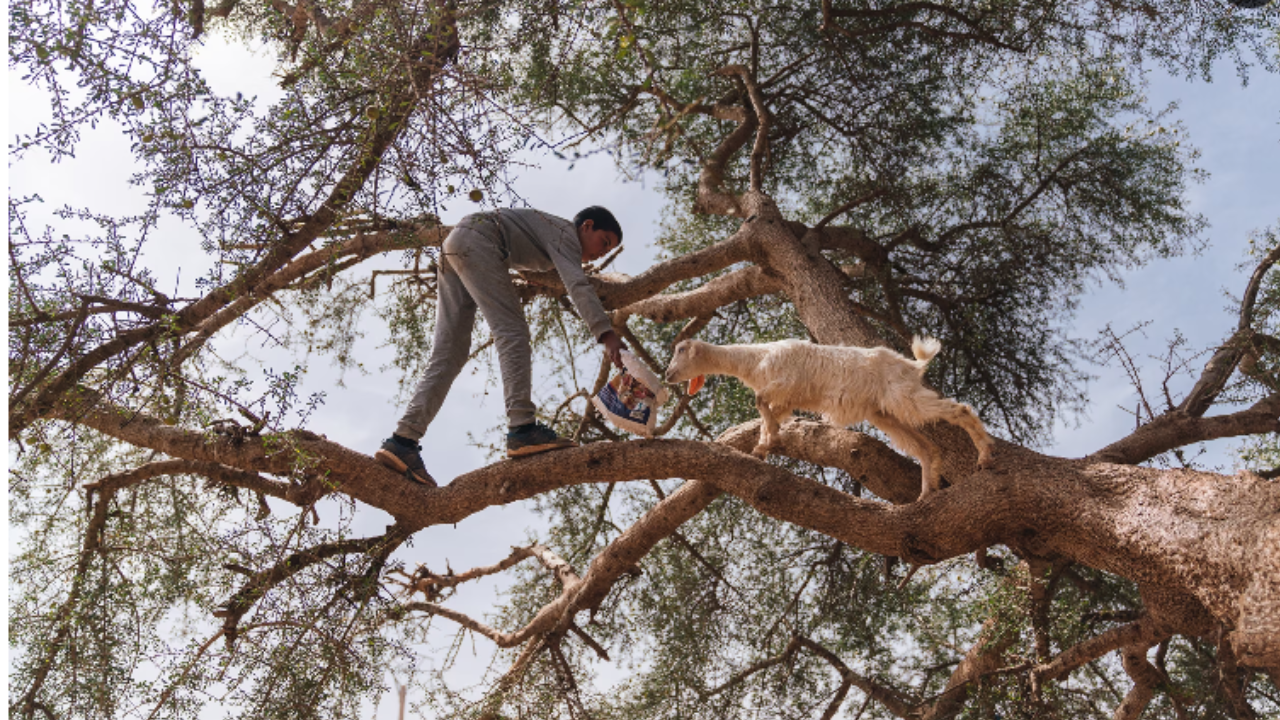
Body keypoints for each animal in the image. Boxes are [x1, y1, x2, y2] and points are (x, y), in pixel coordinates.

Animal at [665, 337, 994, 500]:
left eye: (681, 350)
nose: (667, 374)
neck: (755, 359)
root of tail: (911, 365)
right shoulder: (785, 399)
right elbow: (765, 413)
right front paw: (762, 447)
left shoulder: (784, 384)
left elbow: (759, 403)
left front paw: (770, 440)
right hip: (885, 414)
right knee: (926, 447)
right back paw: (925, 494)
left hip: (905, 396)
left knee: (960, 410)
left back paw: (984, 457)